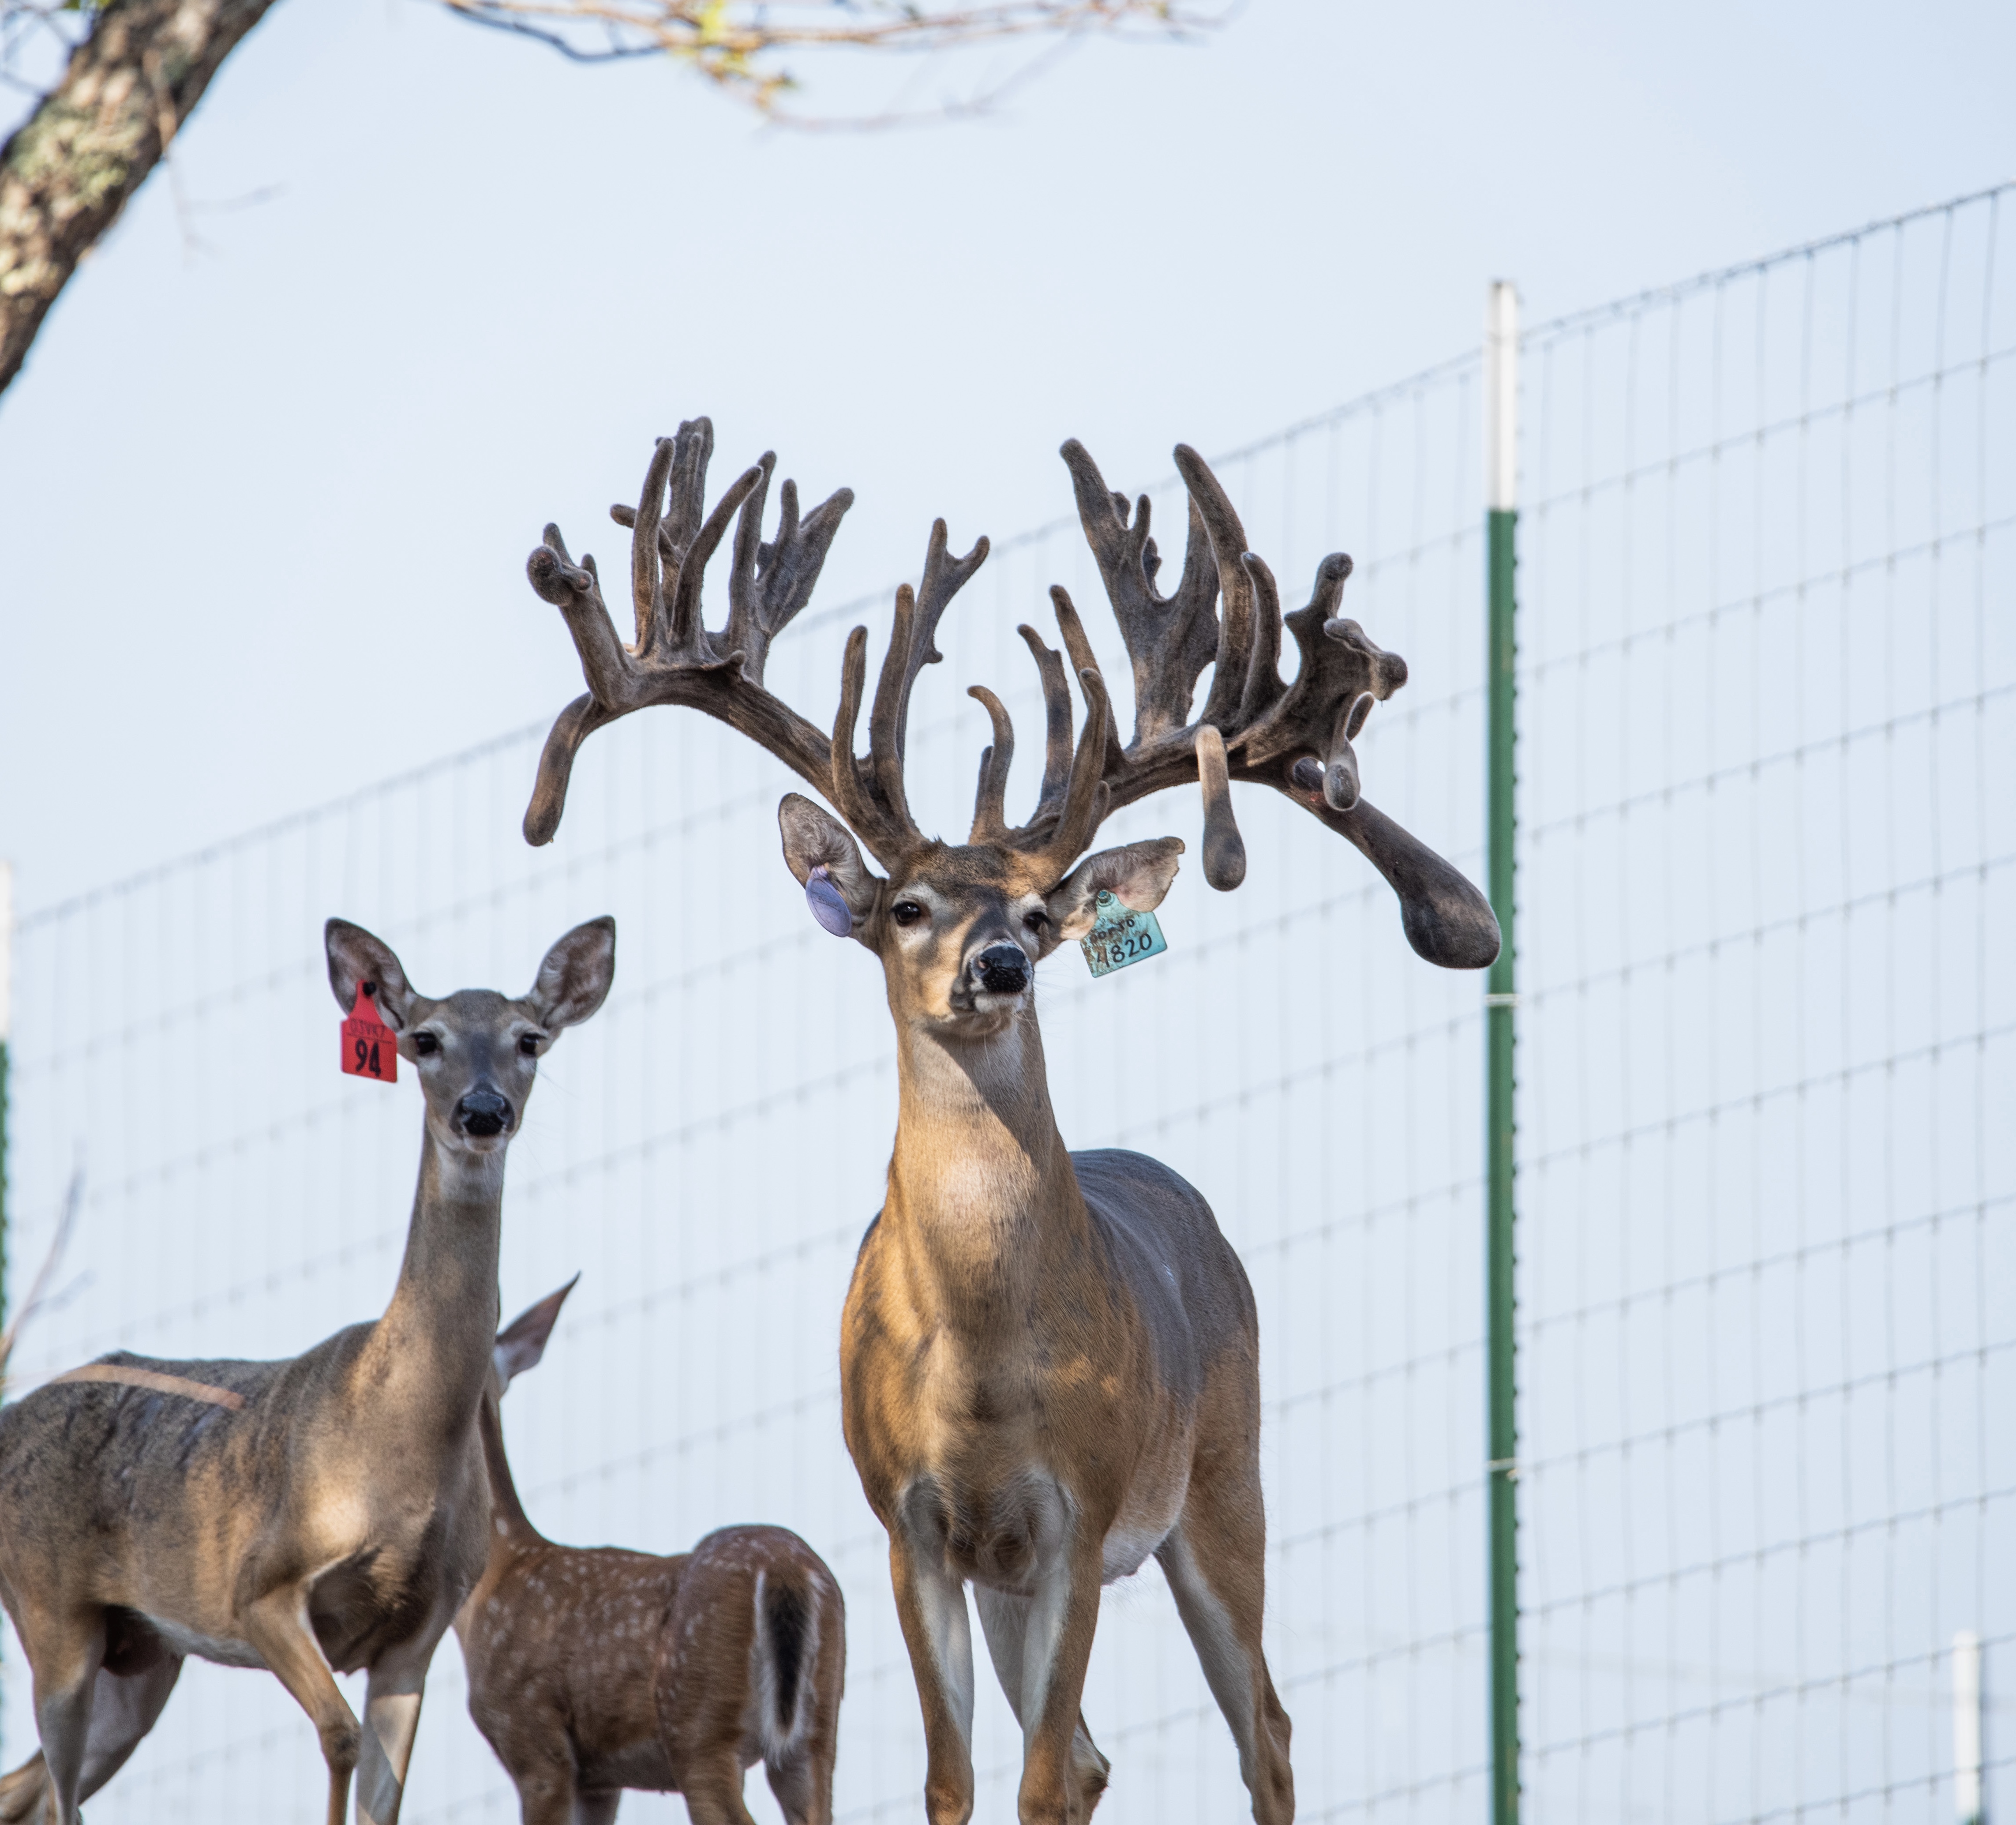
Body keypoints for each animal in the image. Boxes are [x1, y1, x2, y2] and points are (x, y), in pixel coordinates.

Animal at [0, 915, 616, 1825]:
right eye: (423, 1039)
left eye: (529, 1039)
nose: (482, 1111)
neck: (400, 1439)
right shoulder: (260, 1588)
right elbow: (339, 1738)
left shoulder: (421, 1630)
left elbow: (384, 1793)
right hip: (52, 1611)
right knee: (57, 1788)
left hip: (141, 1654)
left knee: (37, 1786)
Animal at [455, 1275, 846, 1825]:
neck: (500, 1573)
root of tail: (785, 1568)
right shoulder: (600, 1777)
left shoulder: (533, 1738)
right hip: (816, 1730)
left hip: (698, 1721)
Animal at [510, 418, 1500, 1825]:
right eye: (908, 905)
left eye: (1038, 912)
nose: (999, 967)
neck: (980, 1366)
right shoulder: (911, 1522)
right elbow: (955, 1777)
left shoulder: (1079, 1515)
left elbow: (1035, 1779)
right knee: (1099, 1750)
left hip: (1221, 1476)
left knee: (1261, 1726)